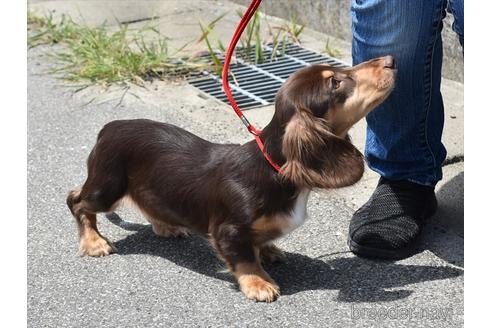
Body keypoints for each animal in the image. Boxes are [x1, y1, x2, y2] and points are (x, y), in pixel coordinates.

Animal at [66, 54, 396, 302]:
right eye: (335, 82)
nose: (391, 60)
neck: (272, 170)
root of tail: (109, 127)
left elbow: (260, 243)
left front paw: (269, 250)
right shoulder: (228, 230)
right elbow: (244, 257)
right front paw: (258, 283)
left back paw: (166, 226)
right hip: (107, 188)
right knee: (76, 201)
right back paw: (94, 242)